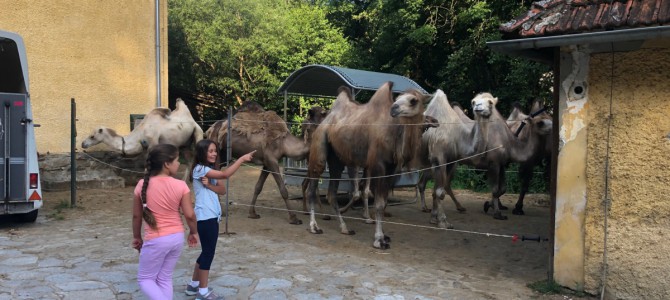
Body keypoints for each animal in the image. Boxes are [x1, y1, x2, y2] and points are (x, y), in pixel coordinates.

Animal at [308, 82, 434, 248]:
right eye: (397, 98)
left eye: (413, 100)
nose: (394, 109)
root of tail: (325, 121)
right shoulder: (378, 166)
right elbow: (379, 203)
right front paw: (379, 239)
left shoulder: (391, 169)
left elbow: (383, 201)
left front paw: (384, 236)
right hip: (320, 146)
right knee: (312, 186)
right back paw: (314, 227)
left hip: (336, 159)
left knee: (331, 194)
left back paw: (344, 228)